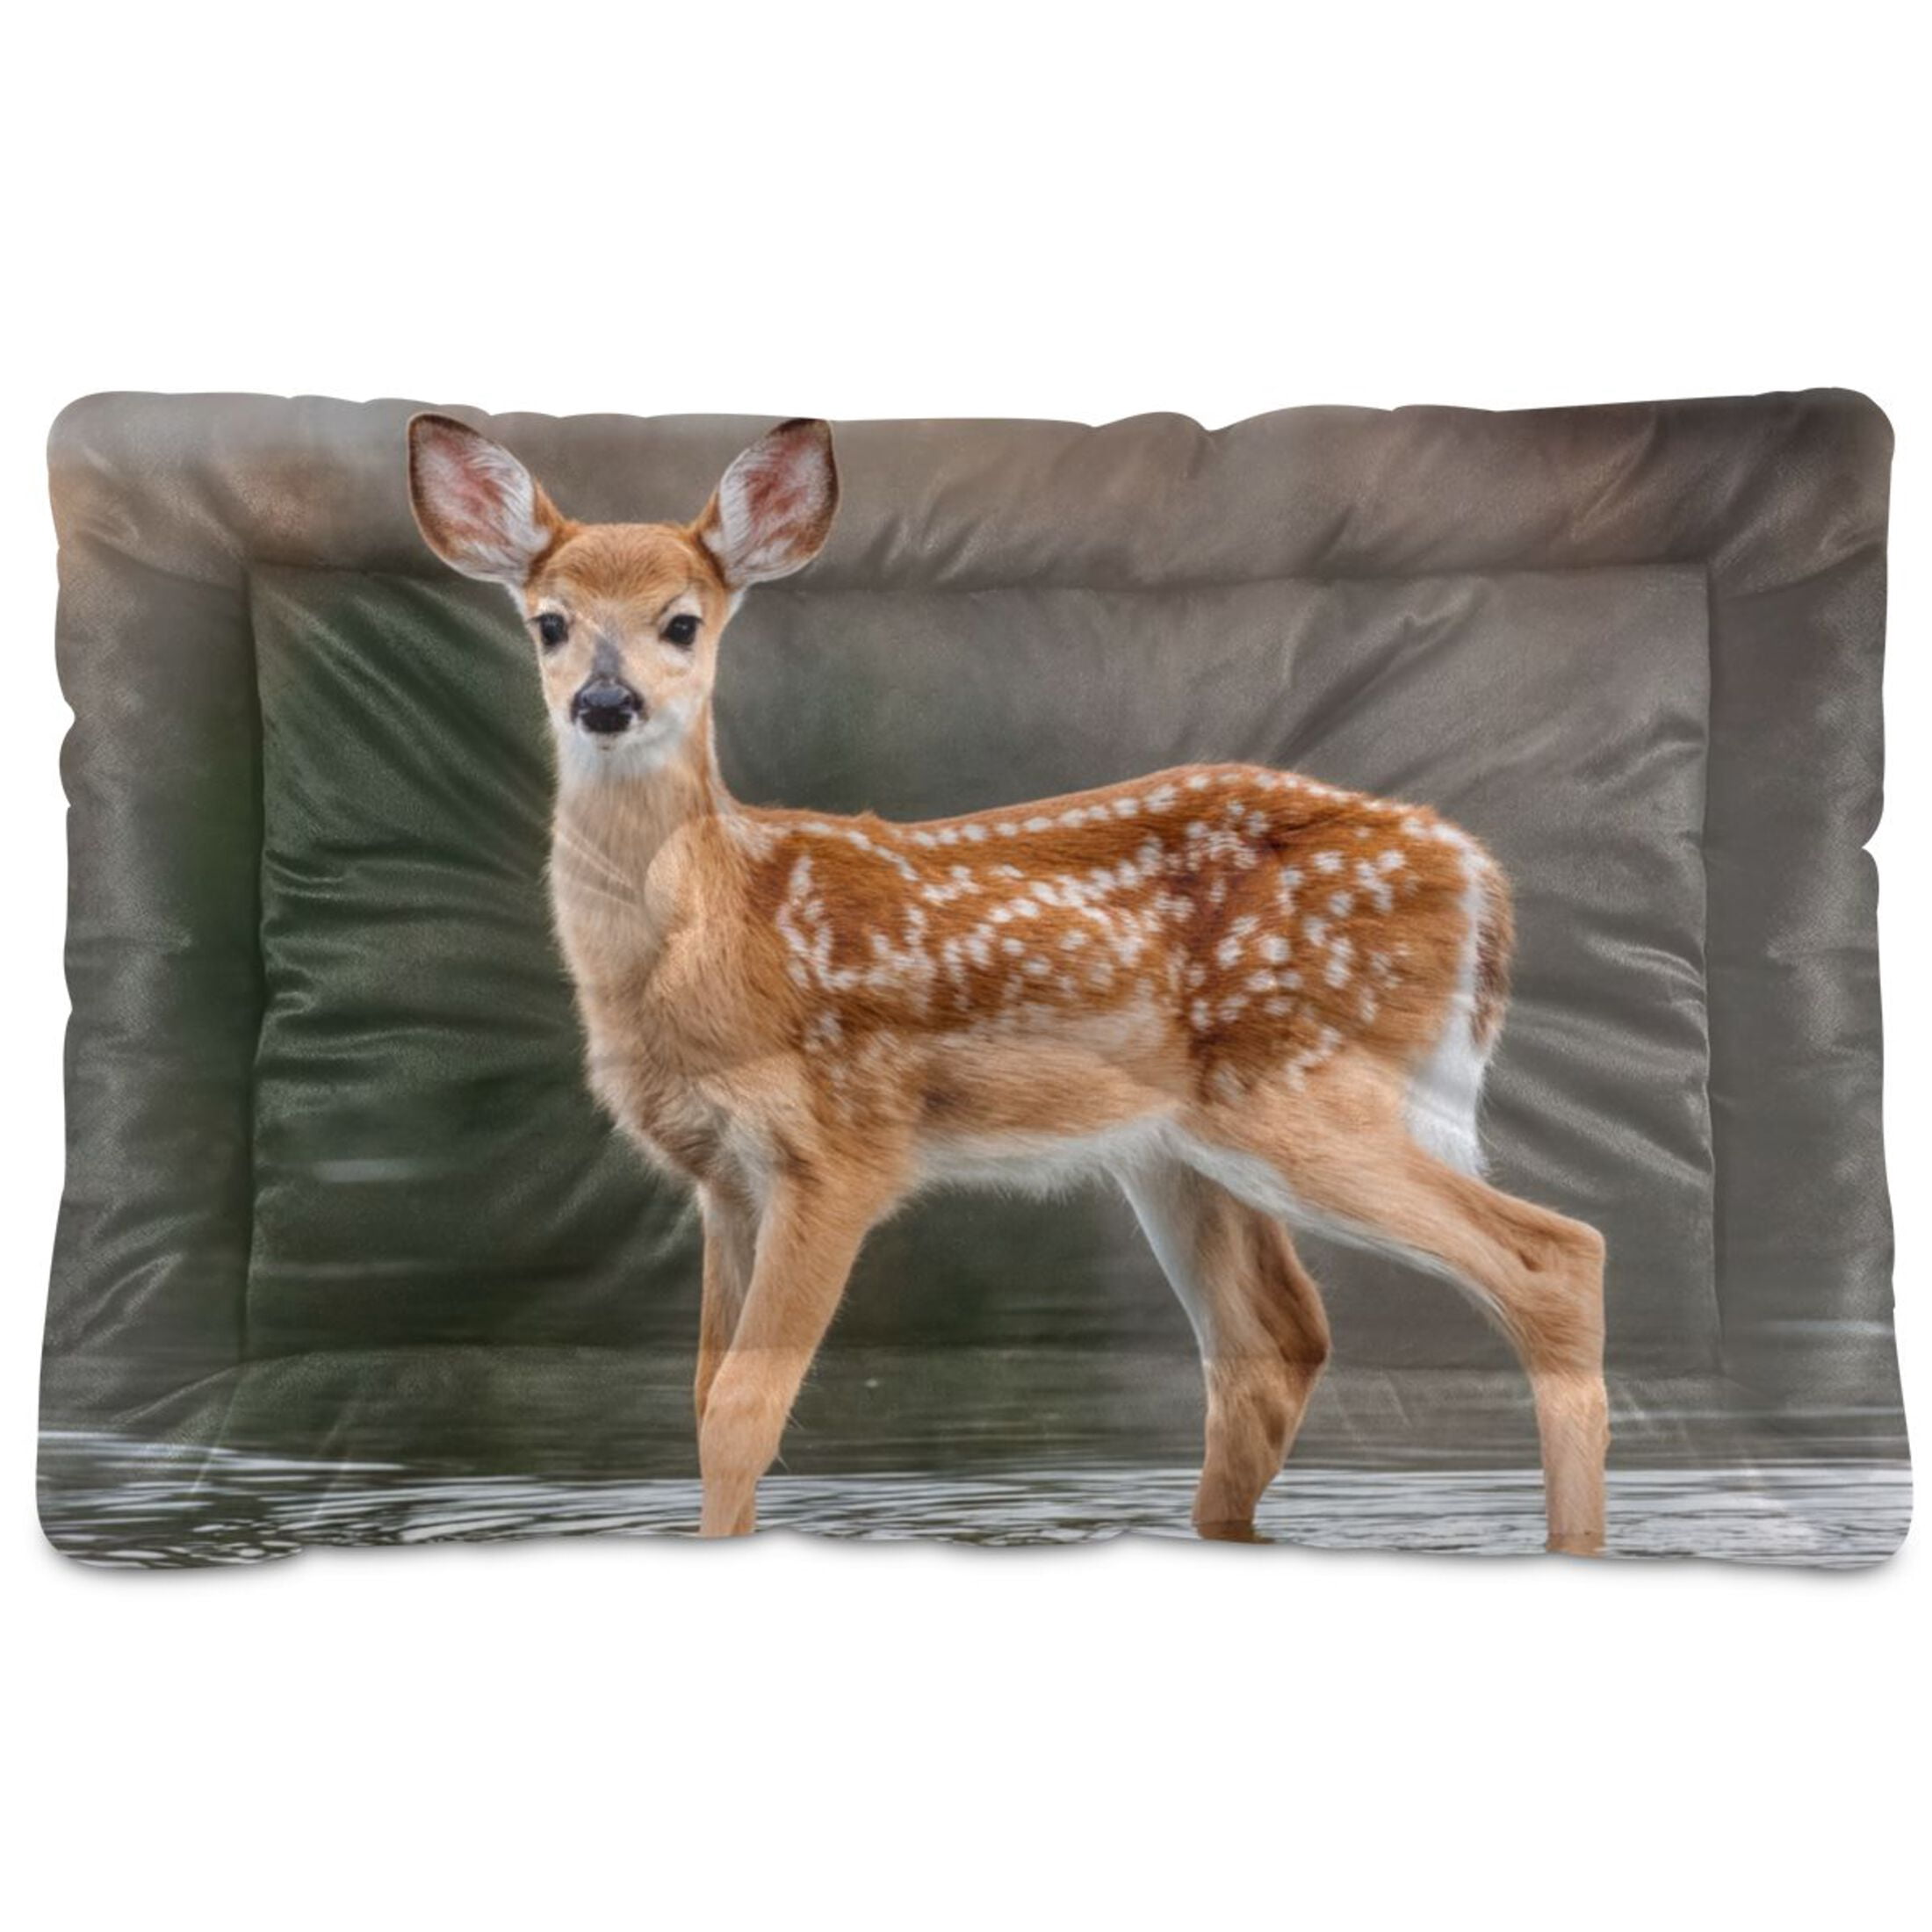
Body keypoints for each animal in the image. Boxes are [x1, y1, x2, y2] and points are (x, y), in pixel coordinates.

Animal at [406, 412, 1611, 1552]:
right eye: (549, 622)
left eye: (682, 621)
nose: (605, 704)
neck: (723, 935)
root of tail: (1475, 873)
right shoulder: (723, 1178)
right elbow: (702, 1399)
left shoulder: (839, 1146)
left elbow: (747, 1406)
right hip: (1181, 1152)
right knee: (1272, 1345)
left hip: (1305, 1089)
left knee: (1553, 1255)